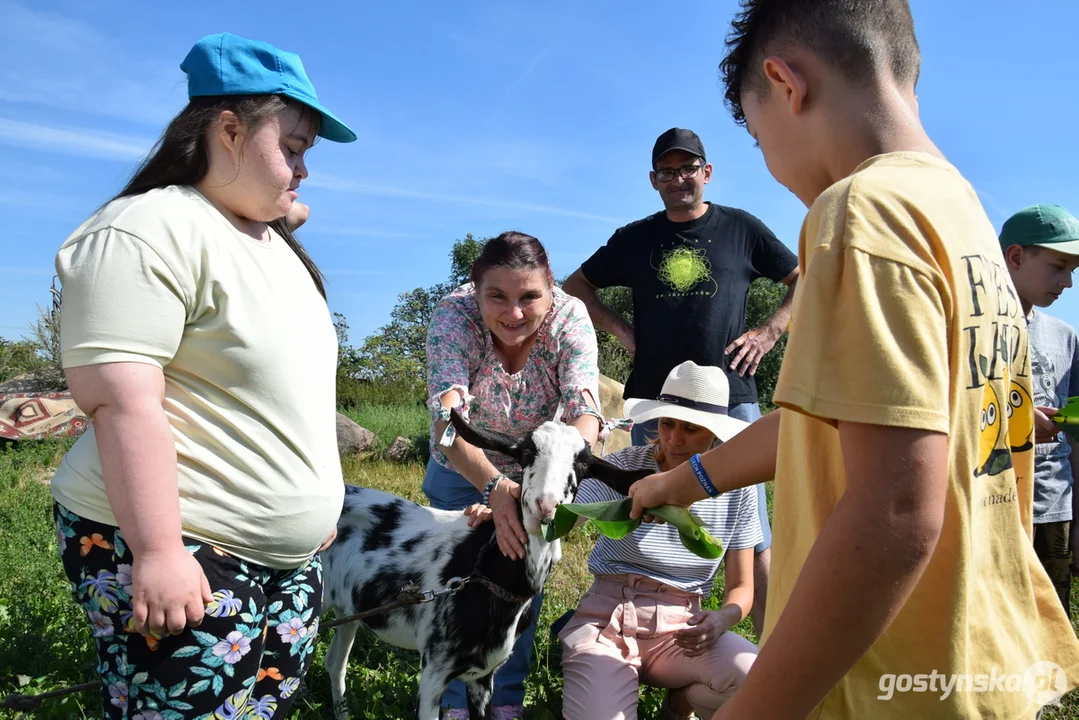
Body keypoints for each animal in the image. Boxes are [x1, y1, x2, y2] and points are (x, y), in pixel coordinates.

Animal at [317, 408, 638, 716]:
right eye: (525, 452)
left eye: (583, 463)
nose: (545, 506)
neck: (487, 575)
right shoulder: (434, 671)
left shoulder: (483, 676)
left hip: (349, 608)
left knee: (335, 663)